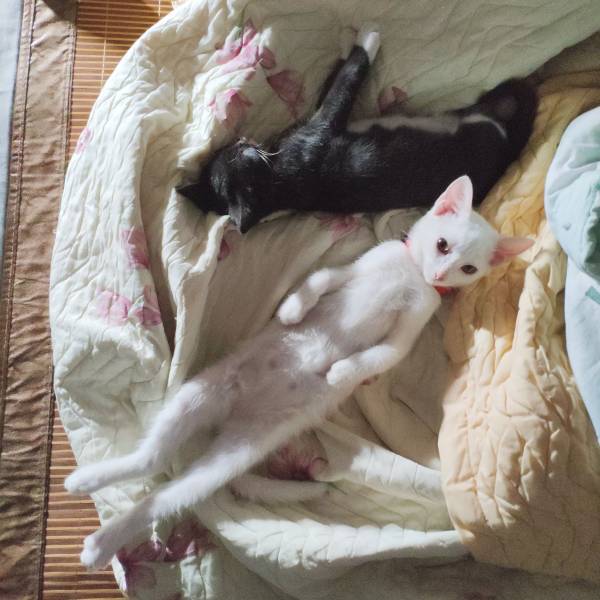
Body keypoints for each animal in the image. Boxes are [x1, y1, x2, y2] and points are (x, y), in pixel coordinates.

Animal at [64, 175, 533, 570]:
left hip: (236, 451)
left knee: (169, 488)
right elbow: (319, 278)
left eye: (468, 268)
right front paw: (292, 311)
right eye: (442, 244)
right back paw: (91, 483)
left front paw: (342, 373)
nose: (438, 272)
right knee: (153, 458)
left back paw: (101, 540)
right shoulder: (354, 267)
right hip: (201, 391)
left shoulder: (409, 331)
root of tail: (231, 418)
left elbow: (381, 355)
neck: (411, 276)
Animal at [178, 24, 537, 233]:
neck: (277, 182)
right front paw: (368, 39)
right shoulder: (320, 129)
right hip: (477, 128)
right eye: (236, 155)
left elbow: (330, 85)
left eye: (224, 153)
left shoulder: (313, 120)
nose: (240, 141)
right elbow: (347, 82)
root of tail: (506, 157)